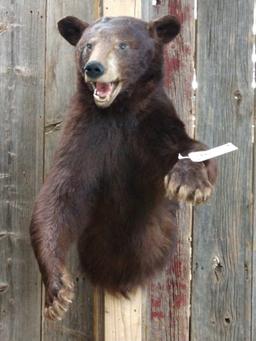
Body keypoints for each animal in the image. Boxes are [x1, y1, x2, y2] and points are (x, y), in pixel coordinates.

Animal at [30, 15, 218, 318]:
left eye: (123, 45)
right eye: (88, 45)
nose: (94, 67)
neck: (119, 109)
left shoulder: (152, 124)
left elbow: (189, 147)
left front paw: (189, 184)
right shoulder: (87, 134)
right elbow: (59, 195)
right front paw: (57, 293)